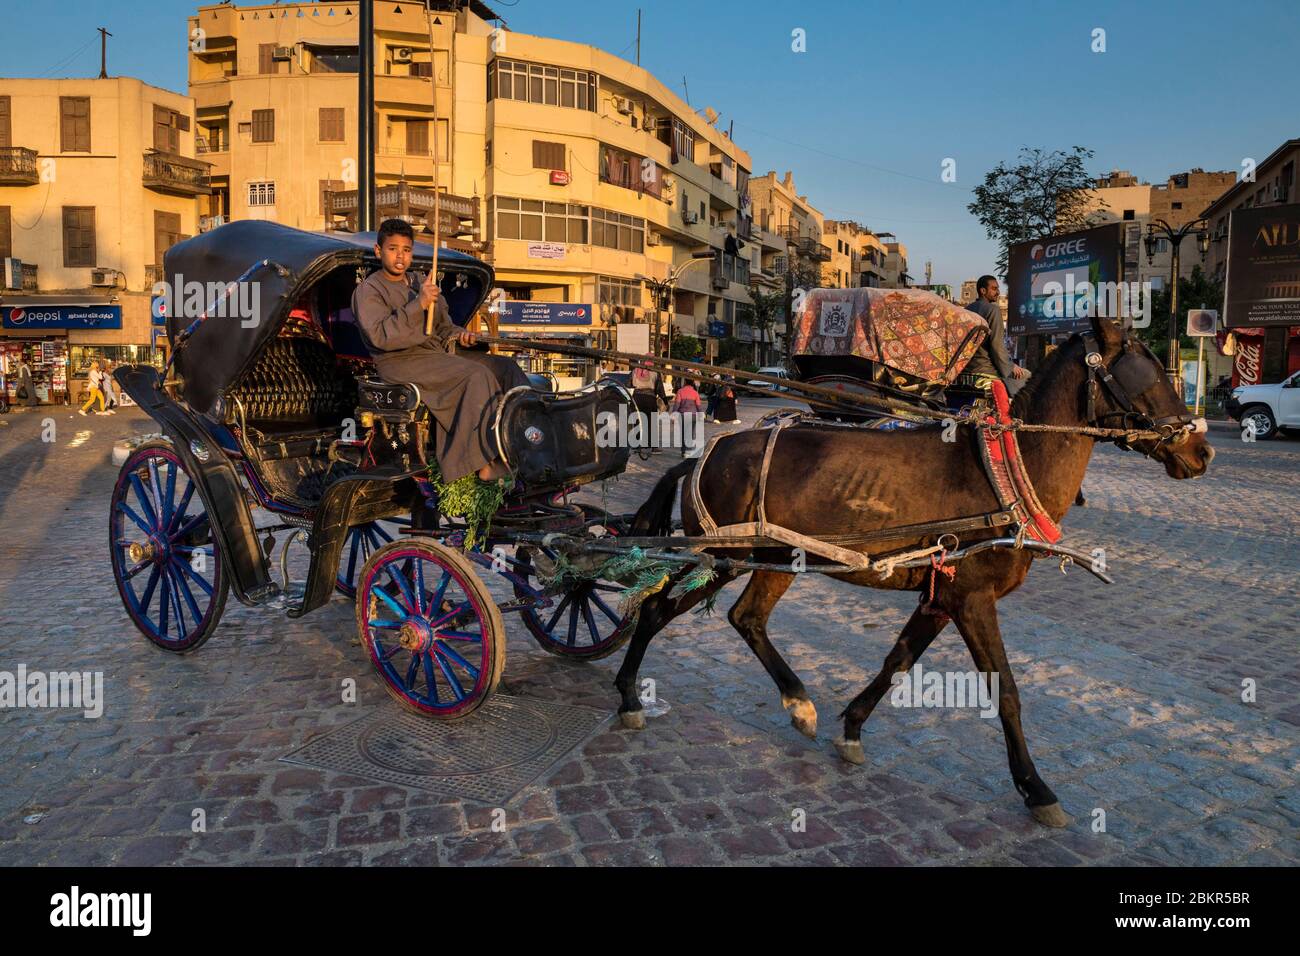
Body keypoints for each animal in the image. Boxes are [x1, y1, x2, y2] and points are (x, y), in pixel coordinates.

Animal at [613, 312, 1211, 822]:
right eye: (1148, 370)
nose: (1201, 451)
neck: (1007, 466)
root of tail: (701, 456)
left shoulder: (941, 596)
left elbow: (897, 662)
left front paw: (852, 729)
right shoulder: (971, 598)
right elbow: (1006, 691)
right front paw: (1035, 787)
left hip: (774, 559)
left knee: (747, 619)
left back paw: (798, 704)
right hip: (722, 557)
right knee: (656, 610)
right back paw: (628, 695)